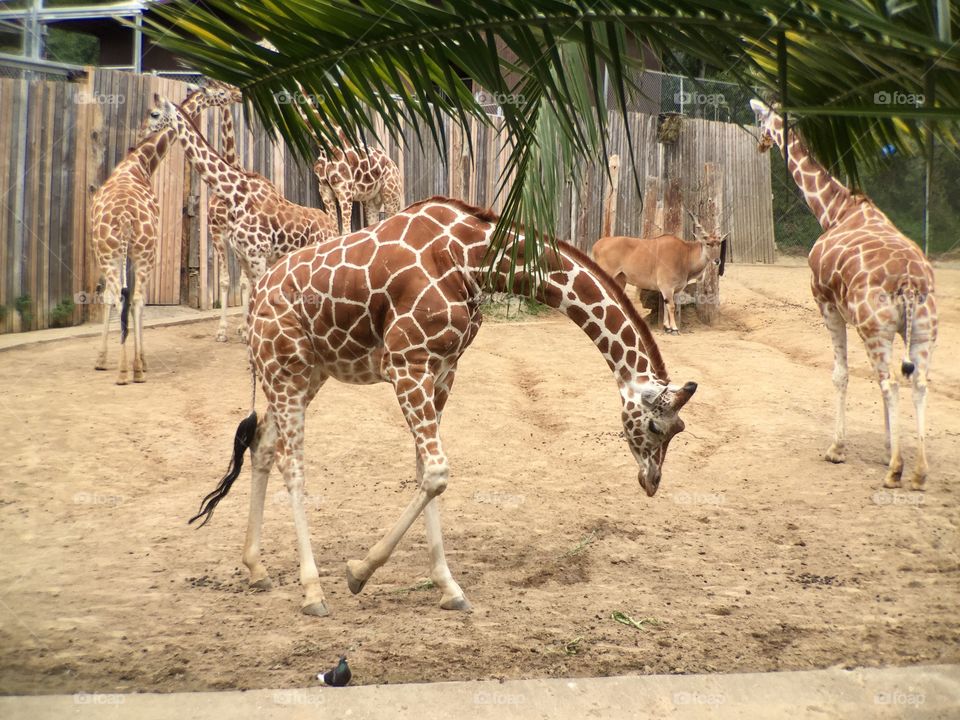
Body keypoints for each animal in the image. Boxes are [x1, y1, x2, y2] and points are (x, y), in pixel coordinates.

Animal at [592, 211, 728, 334]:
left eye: (719, 243)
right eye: (708, 243)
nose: (717, 261)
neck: (685, 255)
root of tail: (597, 244)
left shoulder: (674, 290)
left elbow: (667, 305)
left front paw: (667, 327)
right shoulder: (666, 286)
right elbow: (671, 306)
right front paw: (674, 329)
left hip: (620, 279)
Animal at [752, 98, 936, 490]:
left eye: (759, 120)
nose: (761, 144)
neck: (835, 210)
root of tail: (910, 283)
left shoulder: (825, 303)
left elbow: (840, 374)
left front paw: (836, 449)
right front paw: (886, 448)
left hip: (874, 328)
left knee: (891, 382)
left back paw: (895, 471)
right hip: (923, 330)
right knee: (917, 382)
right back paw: (917, 472)